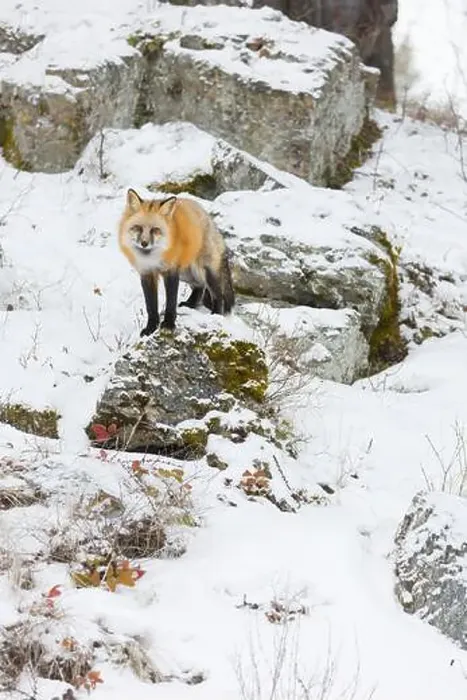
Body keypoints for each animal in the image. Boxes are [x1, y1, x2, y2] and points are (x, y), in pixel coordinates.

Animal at [118, 189, 235, 335]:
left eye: (155, 230)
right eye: (138, 227)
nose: (144, 243)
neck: (153, 258)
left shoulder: (171, 271)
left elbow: (171, 302)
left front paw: (168, 324)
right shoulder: (147, 274)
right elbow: (150, 306)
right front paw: (151, 327)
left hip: (204, 271)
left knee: (218, 295)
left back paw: (216, 315)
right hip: (187, 273)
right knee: (200, 287)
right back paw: (190, 305)